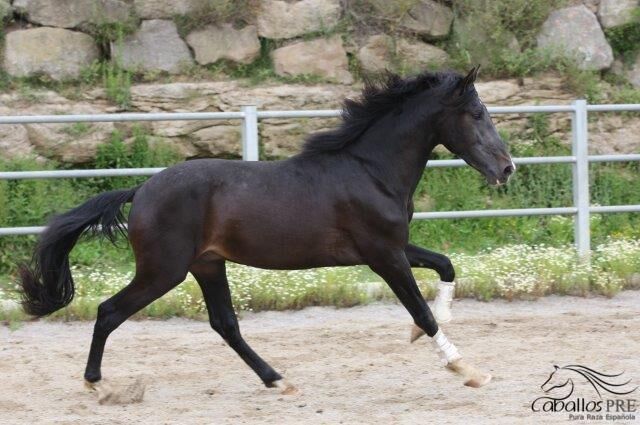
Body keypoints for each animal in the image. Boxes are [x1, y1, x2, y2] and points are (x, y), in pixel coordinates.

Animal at [20, 67, 516, 398]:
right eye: (476, 113)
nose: (506, 168)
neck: (370, 170)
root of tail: (141, 189)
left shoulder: (392, 248)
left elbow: (446, 267)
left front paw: (430, 335)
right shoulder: (383, 255)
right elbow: (423, 313)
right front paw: (469, 370)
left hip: (207, 265)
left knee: (225, 324)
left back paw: (277, 379)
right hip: (164, 271)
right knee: (108, 312)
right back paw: (97, 386)